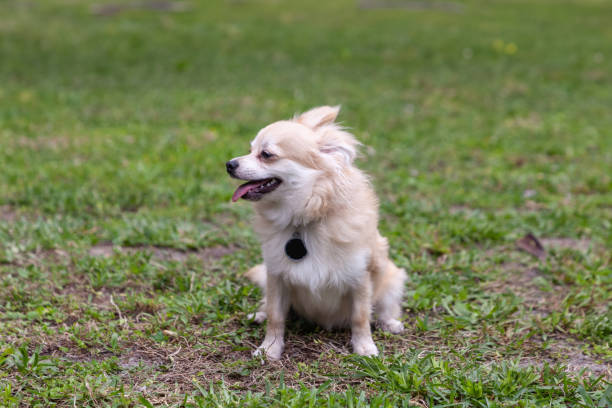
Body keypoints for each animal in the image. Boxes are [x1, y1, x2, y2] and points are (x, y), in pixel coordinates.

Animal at [226, 106, 406, 360]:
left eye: (266, 154)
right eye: (250, 150)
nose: (229, 164)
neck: (303, 220)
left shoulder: (360, 278)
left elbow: (360, 317)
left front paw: (364, 347)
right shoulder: (276, 276)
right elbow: (275, 316)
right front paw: (270, 348)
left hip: (393, 279)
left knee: (384, 307)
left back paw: (389, 322)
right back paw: (258, 314)